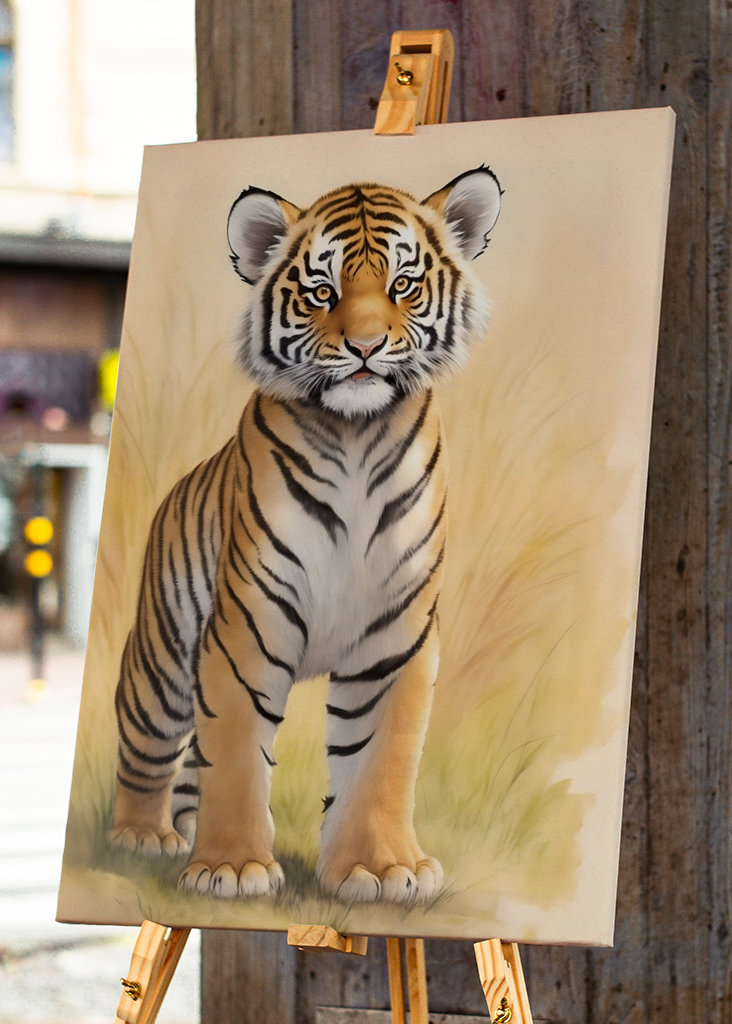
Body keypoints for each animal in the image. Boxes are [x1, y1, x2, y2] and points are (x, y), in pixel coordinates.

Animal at [109, 165, 502, 905]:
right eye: (324, 292)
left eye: (403, 285)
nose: (365, 347)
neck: (357, 435)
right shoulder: (244, 628)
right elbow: (237, 751)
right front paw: (233, 868)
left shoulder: (396, 637)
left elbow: (379, 756)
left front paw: (383, 869)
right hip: (161, 661)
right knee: (148, 747)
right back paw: (145, 835)